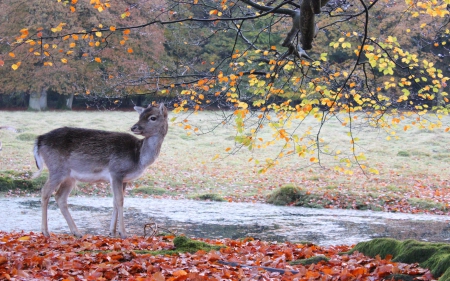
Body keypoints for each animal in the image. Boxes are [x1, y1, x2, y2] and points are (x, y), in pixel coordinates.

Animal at [32, 103, 169, 238]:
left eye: (152, 117)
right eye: (140, 116)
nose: (134, 127)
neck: (138, 157)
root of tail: (39, 139)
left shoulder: (124, 179)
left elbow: (114, 201)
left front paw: (112, 232)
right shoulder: (116, 171)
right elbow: (120, 200)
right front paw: (123, 233)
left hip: (69, 177)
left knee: (60, 197)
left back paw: (77, 232)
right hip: (57, 169)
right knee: (45, 192)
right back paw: (45, 231)